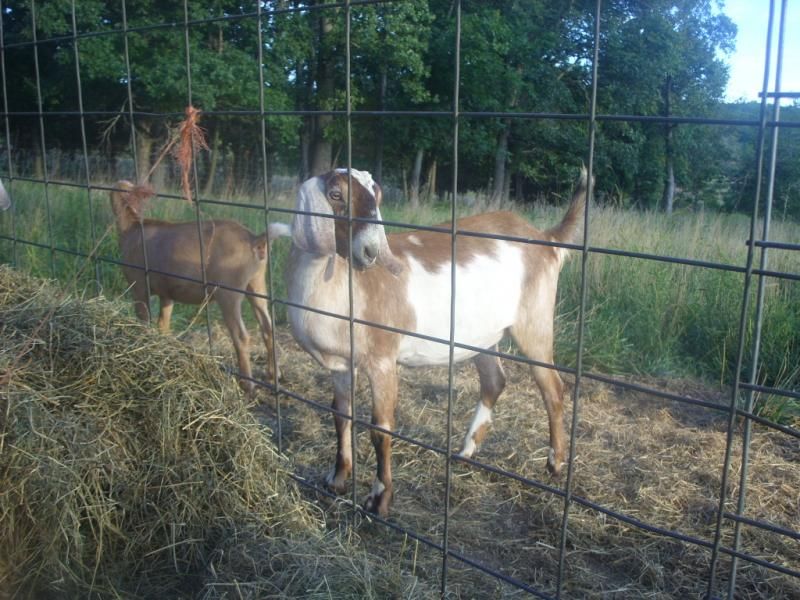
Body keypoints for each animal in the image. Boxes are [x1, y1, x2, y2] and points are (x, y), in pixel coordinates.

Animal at [110, 180, 289, 392]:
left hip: (228, 291)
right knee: (268, 328)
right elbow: (163, 324)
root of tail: (255, 239)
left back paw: (247, 385)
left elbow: (144, 321)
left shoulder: (138, 285)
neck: (131, 227)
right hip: (257, 283)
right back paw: (273, 374)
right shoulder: (166, 292)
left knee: (241, 336)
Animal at [285, 168, 588, 516]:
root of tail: (547, 239)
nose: (371, 251)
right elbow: (340, 414)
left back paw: (555, 462)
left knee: (553, 387)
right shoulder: (340, 365)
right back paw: (466, 449)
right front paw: (336, 479)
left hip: (534, 319)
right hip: (482, 334)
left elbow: (380, 428)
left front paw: (379, 499)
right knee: (495, 380)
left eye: (377, 195)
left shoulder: (381, 358)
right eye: (335, 195)